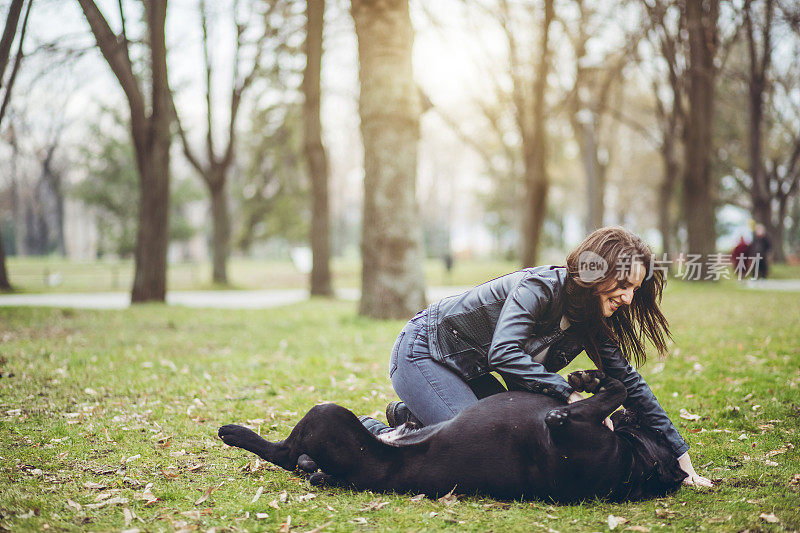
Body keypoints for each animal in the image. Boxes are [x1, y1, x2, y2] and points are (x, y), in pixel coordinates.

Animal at [219, 370, 688, 502]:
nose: (637, 417)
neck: (632, 468)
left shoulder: (565, 425)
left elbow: (617, 389)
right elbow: (618, 387)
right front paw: (590, 376)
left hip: (327, 416)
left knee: (283, 452)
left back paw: (233, 432)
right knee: (301, 462)